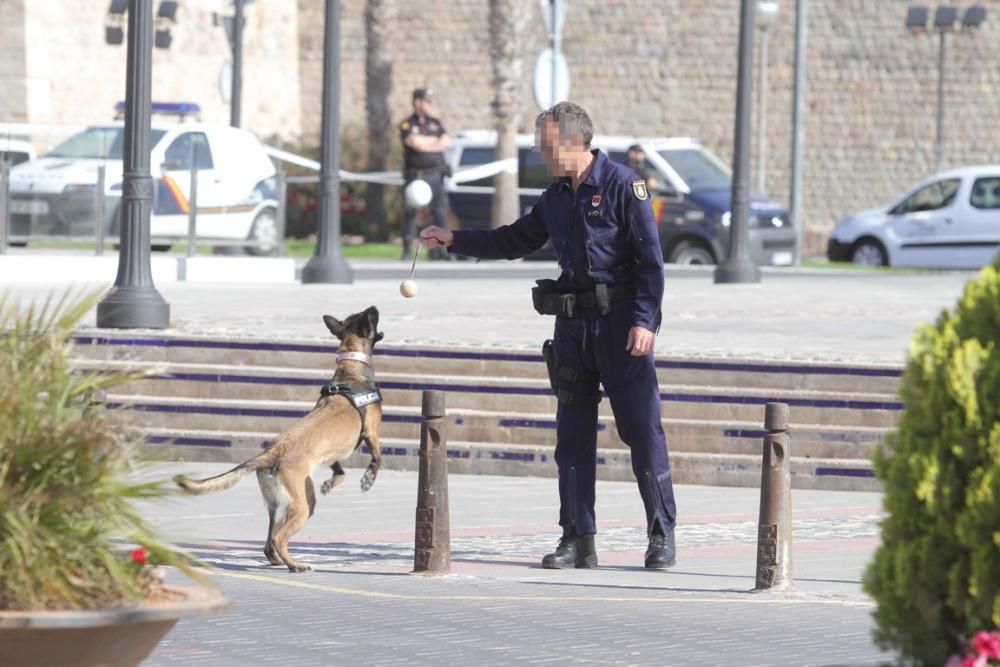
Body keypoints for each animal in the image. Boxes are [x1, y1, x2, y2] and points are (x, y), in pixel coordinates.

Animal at [174, 306, 384, 572]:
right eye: (369, 317)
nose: (374, 307)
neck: (351, 369)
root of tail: (270, 453)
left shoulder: (332, 453)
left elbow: (339, 470)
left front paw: (331, 482)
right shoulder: (371, 432)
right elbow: (377, 457)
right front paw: (368, 479)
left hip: (277, 504)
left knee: (268, 540)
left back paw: (277, 560)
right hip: (303, 505)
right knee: (279, 537)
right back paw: (294, 565)